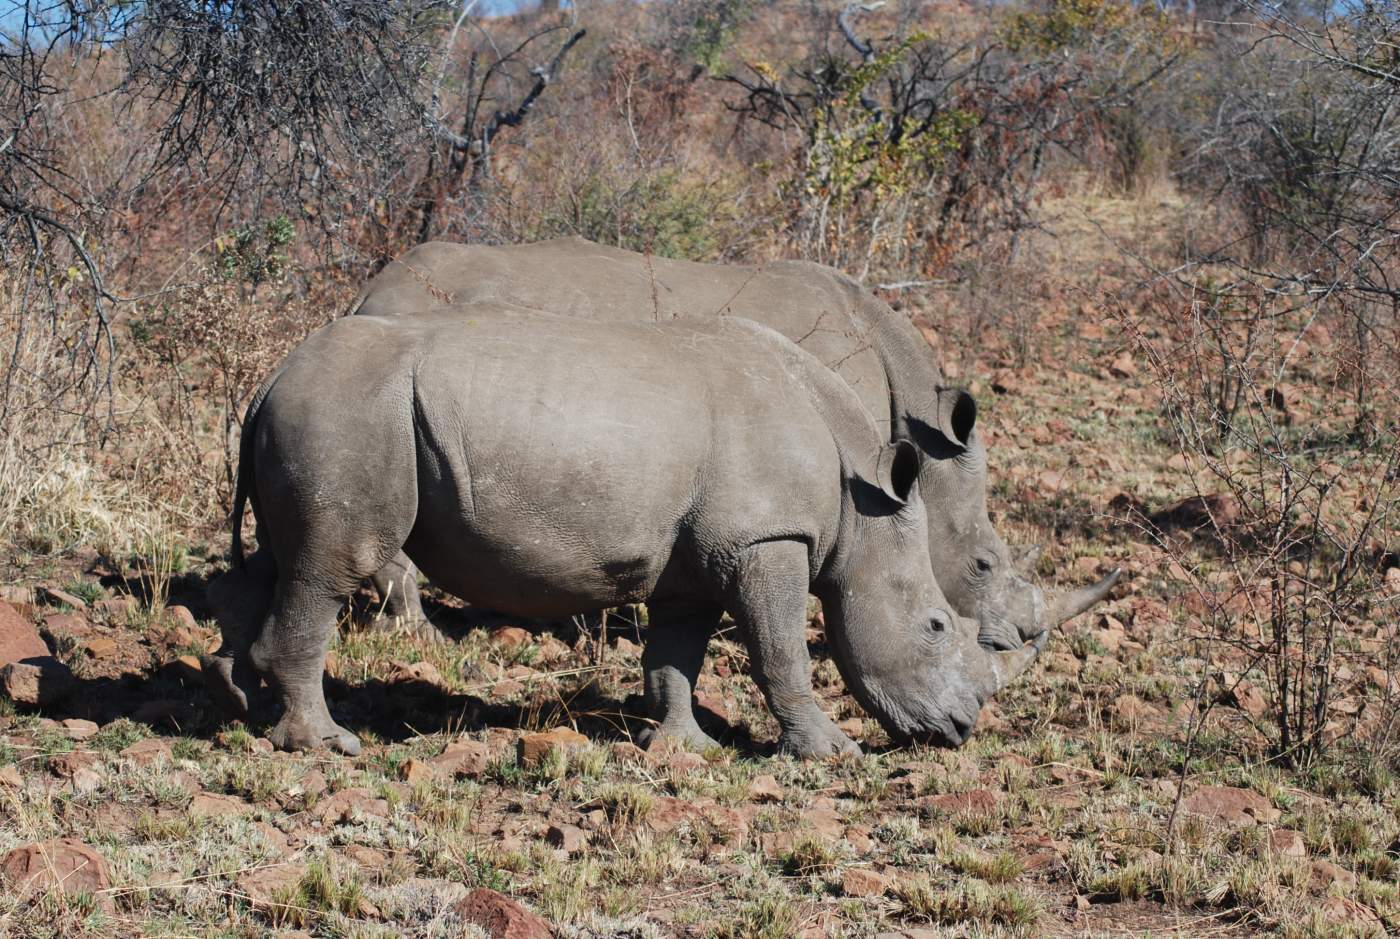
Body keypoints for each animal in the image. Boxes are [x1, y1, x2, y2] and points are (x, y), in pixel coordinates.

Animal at [203, 307, 1047, 755]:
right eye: (934, 625)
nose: (960, 726)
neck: (860, 503)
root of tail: (270, 380)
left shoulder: (702, 557)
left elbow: (675, 652)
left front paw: (683, 747)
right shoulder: (768, 540)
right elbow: (782, 653)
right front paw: (827, 751)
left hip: (319, 413)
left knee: (274, 566)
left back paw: (239, 708)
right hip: (349, 414)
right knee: (329, 569)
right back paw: (325, 743)